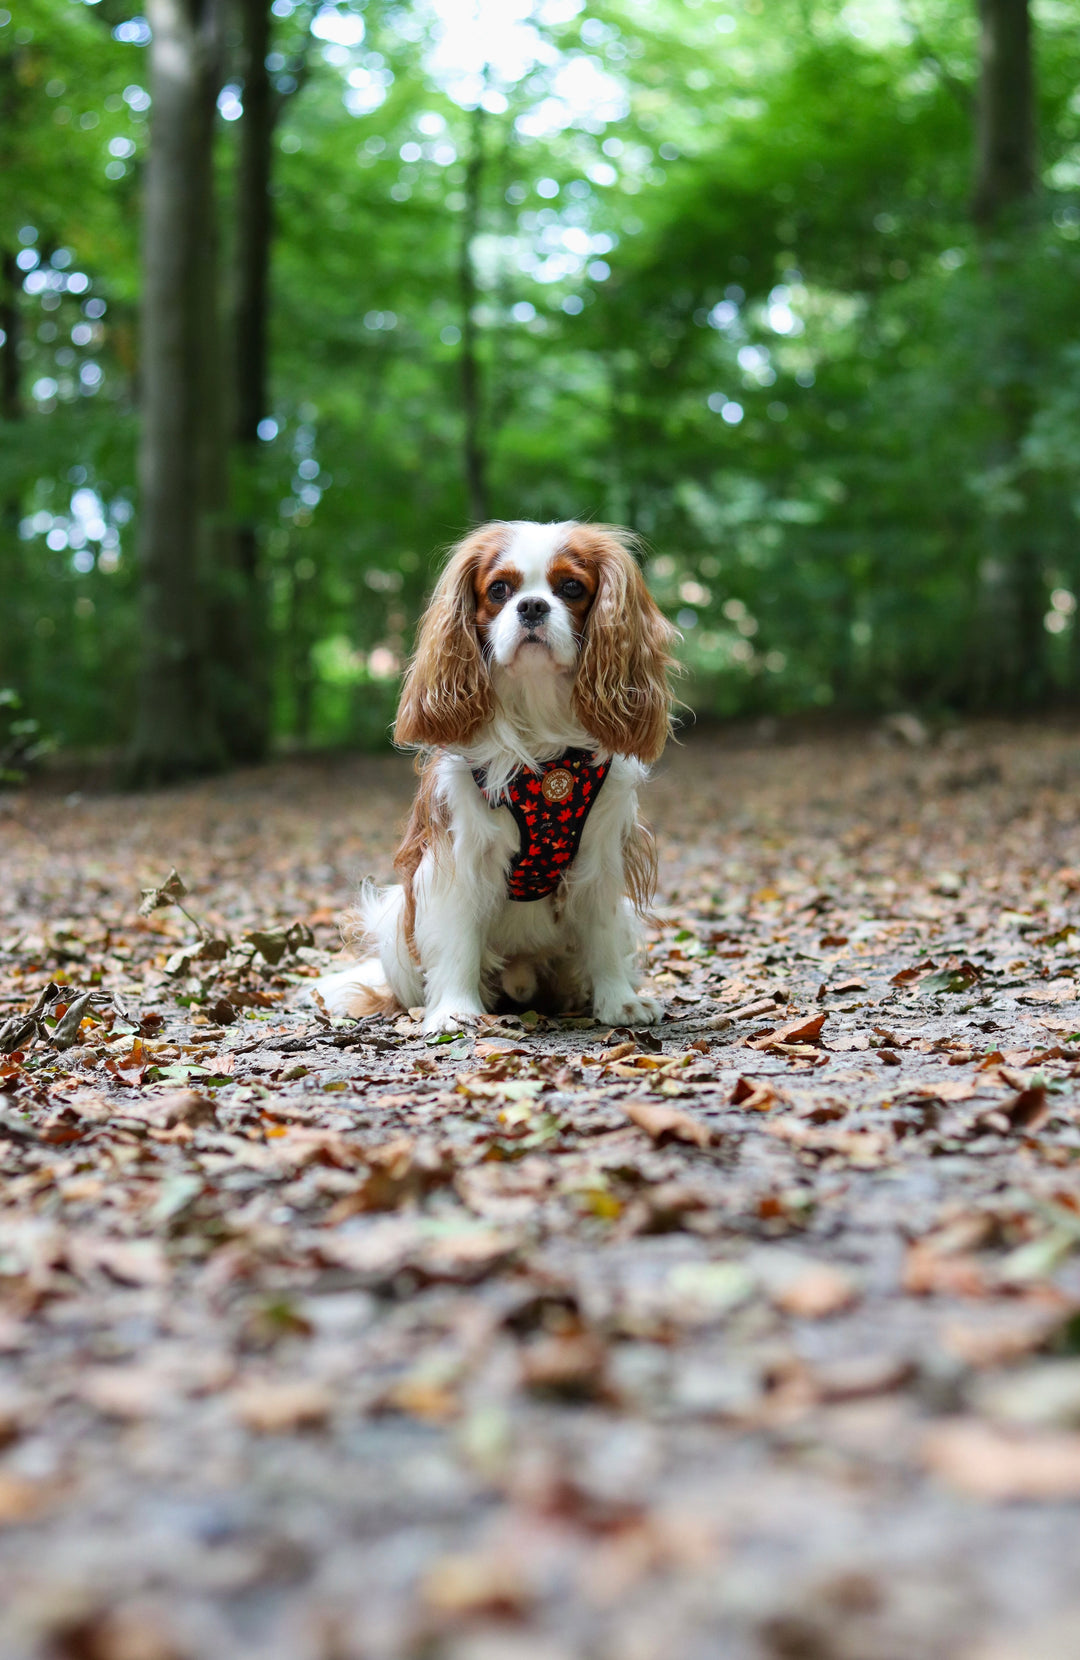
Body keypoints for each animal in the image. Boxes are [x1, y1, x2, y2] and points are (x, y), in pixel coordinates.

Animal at [311, 521, 680, 1035]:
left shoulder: (601, 853)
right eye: (500, 590)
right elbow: (458, 938)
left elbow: (602, 929)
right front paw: (453, 1010)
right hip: (394, 918)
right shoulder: (458, 854)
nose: (532, 606)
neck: (538, 714)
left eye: (571, 588)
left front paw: (618, 1002)